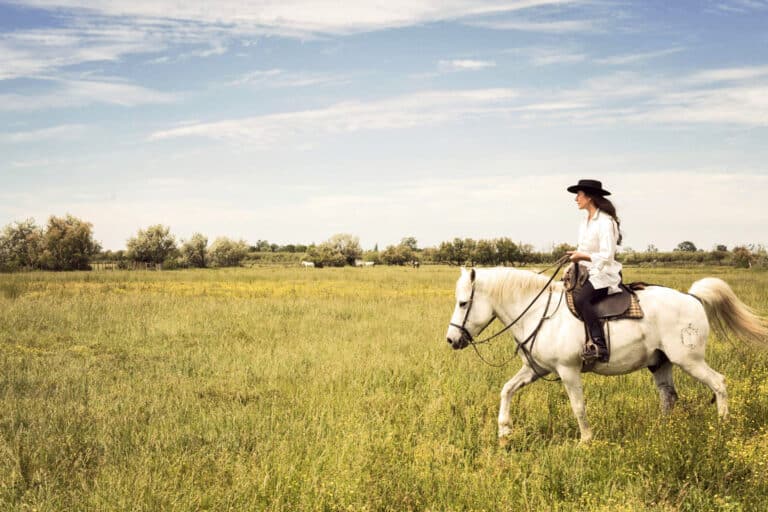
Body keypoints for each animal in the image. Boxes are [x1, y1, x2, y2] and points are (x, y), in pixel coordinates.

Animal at [444, 268, 768, 444]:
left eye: (463, 303)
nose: (451, 340)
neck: (539, 313)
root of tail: (692, 298)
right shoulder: (536, 370)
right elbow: (507, 390)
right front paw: (504, 431)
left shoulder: (568, 370)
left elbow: (578, 407)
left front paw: (586, 441)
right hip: (660, 363)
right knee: (669, 397)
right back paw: (663, 432)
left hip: (689, 360)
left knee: (719, 383)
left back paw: (723, 426)